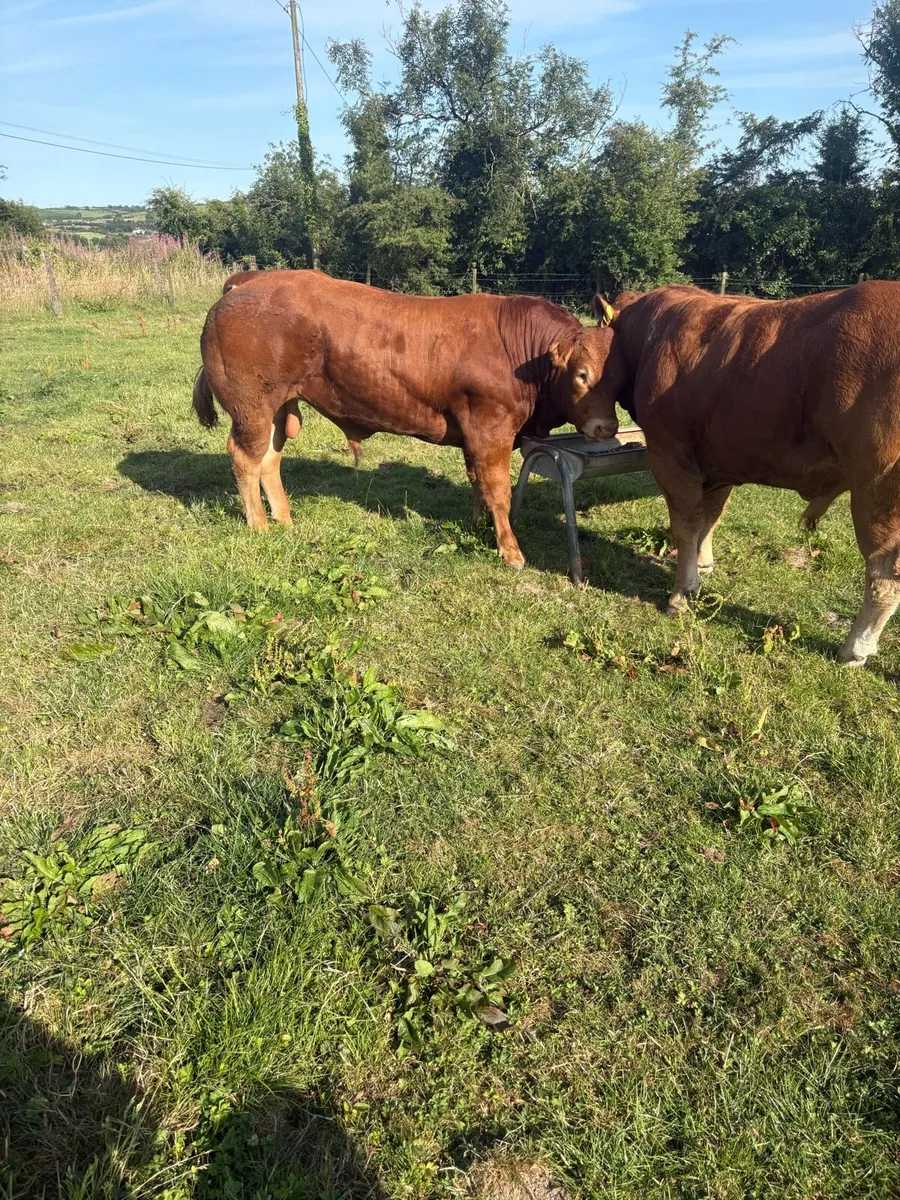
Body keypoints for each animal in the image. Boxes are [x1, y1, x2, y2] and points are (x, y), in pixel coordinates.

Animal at [192, 270, 624, 569]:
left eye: (619, 375)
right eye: (582, 374)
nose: (607, 427)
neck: (520, 354)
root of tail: (249, 280)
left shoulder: (474, 433)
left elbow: (477, 483)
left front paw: (478, 526)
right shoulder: (491, 428)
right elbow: (497, 487)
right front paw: (510, 550)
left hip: (278, 407)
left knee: (269, 459)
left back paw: (284, 521)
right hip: (252, 406)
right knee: (245, 458)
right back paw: (259, 525)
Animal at [564, 282, 900, 666]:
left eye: (590, 369)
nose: (601, 427)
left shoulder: (670, 452)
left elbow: (685, 525)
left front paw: (681, 593)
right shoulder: (718, 462)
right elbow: (709, 518)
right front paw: (703, 564)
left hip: (877, 490)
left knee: (884, 573)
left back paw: (855, 647)